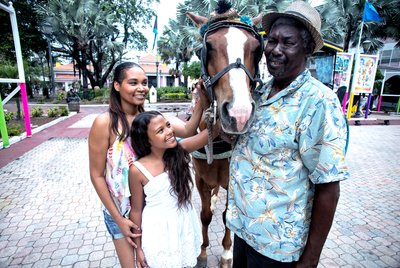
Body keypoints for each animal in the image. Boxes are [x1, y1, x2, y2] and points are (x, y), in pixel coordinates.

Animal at [187, 3, 264, 266]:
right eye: (207, 48)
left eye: (257, 49)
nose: (239, 114)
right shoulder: (200, 179)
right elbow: (205, 215)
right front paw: (201, 252)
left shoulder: (232, 180)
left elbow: (227, 215)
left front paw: (227, 252)